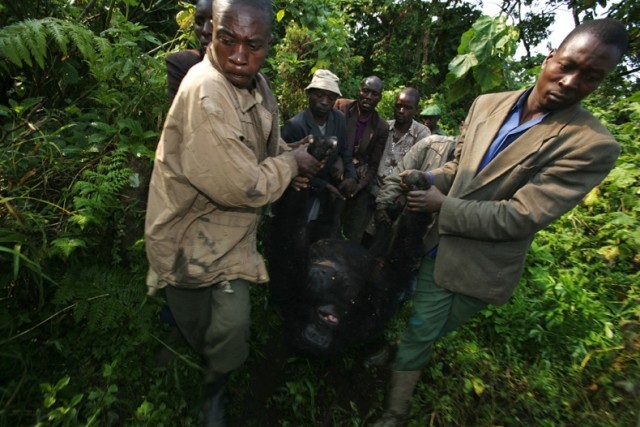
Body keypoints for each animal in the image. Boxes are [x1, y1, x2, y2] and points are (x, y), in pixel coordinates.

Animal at [262, 143, 432, 358]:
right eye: (322, 320)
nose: (316, 334)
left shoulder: (370, 315)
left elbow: (398, 261)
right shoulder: (290, 287)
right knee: (335, 224)